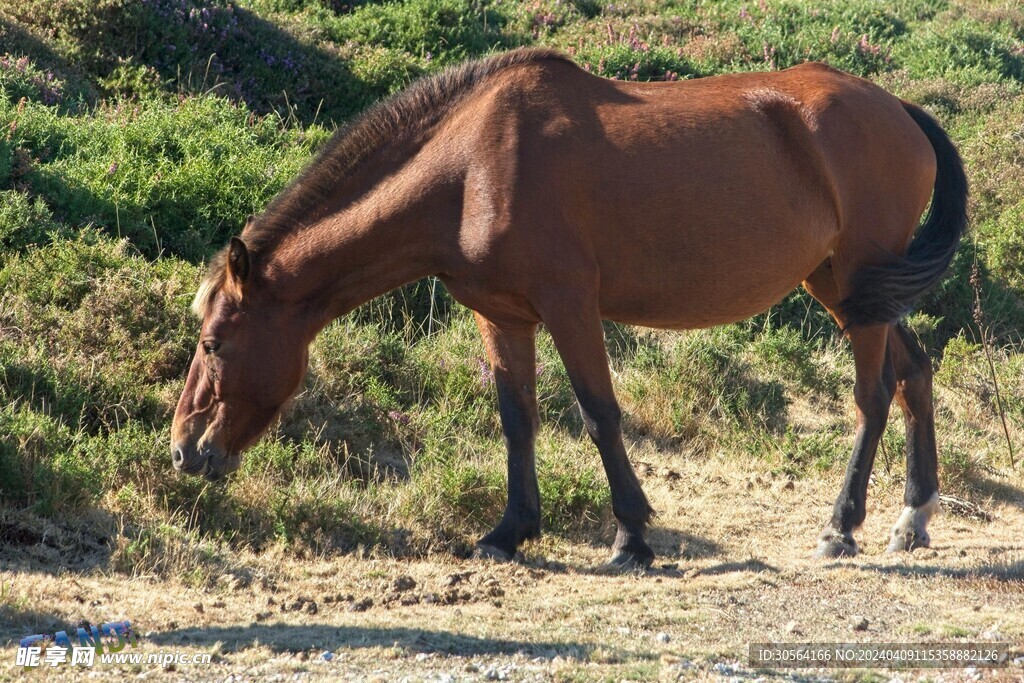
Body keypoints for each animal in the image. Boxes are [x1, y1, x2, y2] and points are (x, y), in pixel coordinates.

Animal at [172, 48, 962, 569]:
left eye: (214, 342)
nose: (184, 450)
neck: (472, 165)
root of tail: (898, 110)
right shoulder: (504, 315)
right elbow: (516, 417)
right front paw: (509, 531)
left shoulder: (570, 305)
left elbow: (597, 413)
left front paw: (632, 536)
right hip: (845, 287)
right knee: (914, 374)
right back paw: (913, 514)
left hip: (856, 284)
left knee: (871, 397)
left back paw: (842, 526)